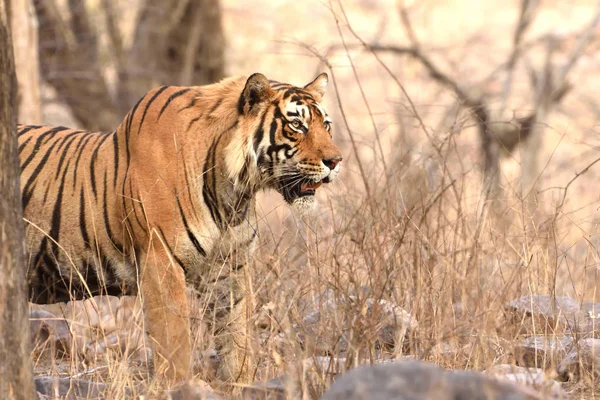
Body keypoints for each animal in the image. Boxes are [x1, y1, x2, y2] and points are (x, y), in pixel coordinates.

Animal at [17, 72, 342, 388]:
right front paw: (180, 386)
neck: (234, 190)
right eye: (297, 125)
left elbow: (237, 337)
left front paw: (241, 384)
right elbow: (175, 341)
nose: (336, 161)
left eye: (326, 125)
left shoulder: (230, 266)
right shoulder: (161, 260)